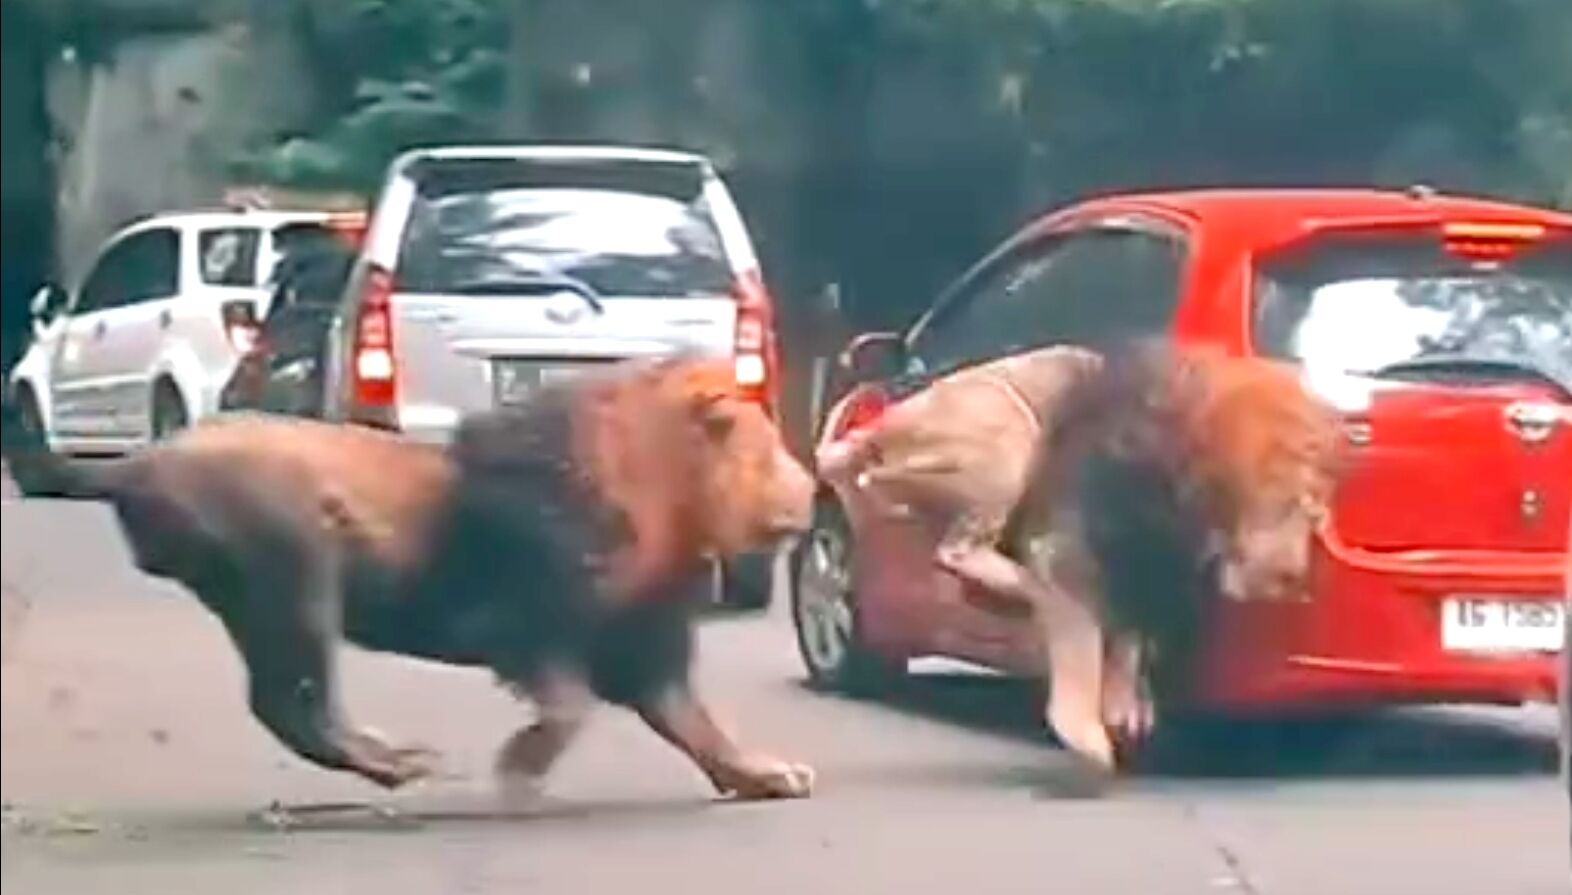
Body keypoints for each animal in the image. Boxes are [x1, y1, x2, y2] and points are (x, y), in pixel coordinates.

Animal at [0, 355, 811, 802]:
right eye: (767, 450)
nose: (809, 490)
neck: (666, 502)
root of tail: (140, 462)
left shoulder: (641, 638)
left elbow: (699, 725)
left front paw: (767, 775)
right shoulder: (526, 618)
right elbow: (570, 707)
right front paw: (519, 769)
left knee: (283, 705)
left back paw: (391, 765)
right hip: (294, 570)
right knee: (291, 703)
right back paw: (398, 763)